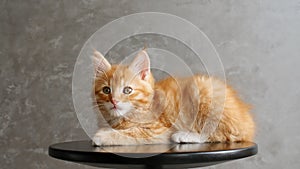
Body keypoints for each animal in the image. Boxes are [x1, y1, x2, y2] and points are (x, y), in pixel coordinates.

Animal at [92, 49, 254, 145]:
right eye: (106, 90)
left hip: (205, 92)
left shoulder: (159, 130)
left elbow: (133, 133)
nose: (114, 101)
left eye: (127, 90)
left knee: (223, 134)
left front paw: (102, 136)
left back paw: (185, 136)